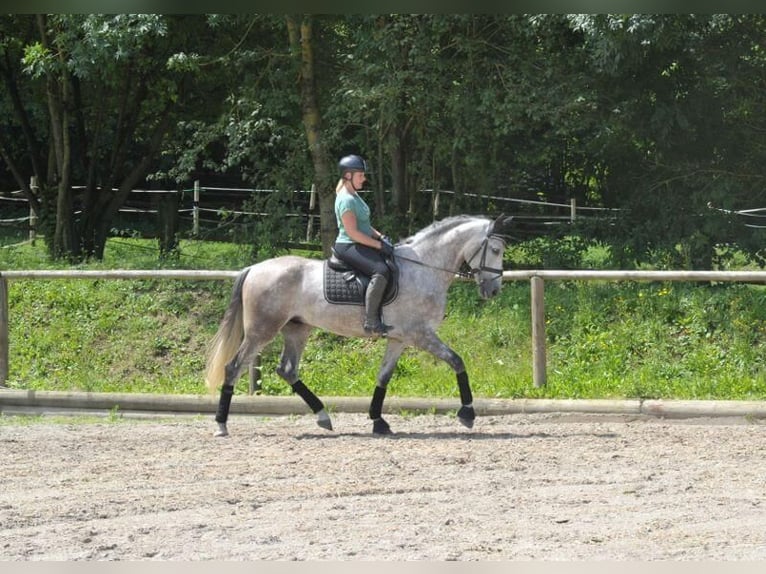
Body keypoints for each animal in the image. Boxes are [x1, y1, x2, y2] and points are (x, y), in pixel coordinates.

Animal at [207, 215, 512, 436]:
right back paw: (221, 424)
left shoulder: (399, 339)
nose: (494, 290)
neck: (424, 268)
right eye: (496, 249)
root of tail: (254, 268)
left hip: (297, 329)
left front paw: (379, 422)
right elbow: (457, 361)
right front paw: (467, 413)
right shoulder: (421, 334)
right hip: (262, 331)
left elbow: (383, 377)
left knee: (287, 370)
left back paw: (323, 416)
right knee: (234, 367)